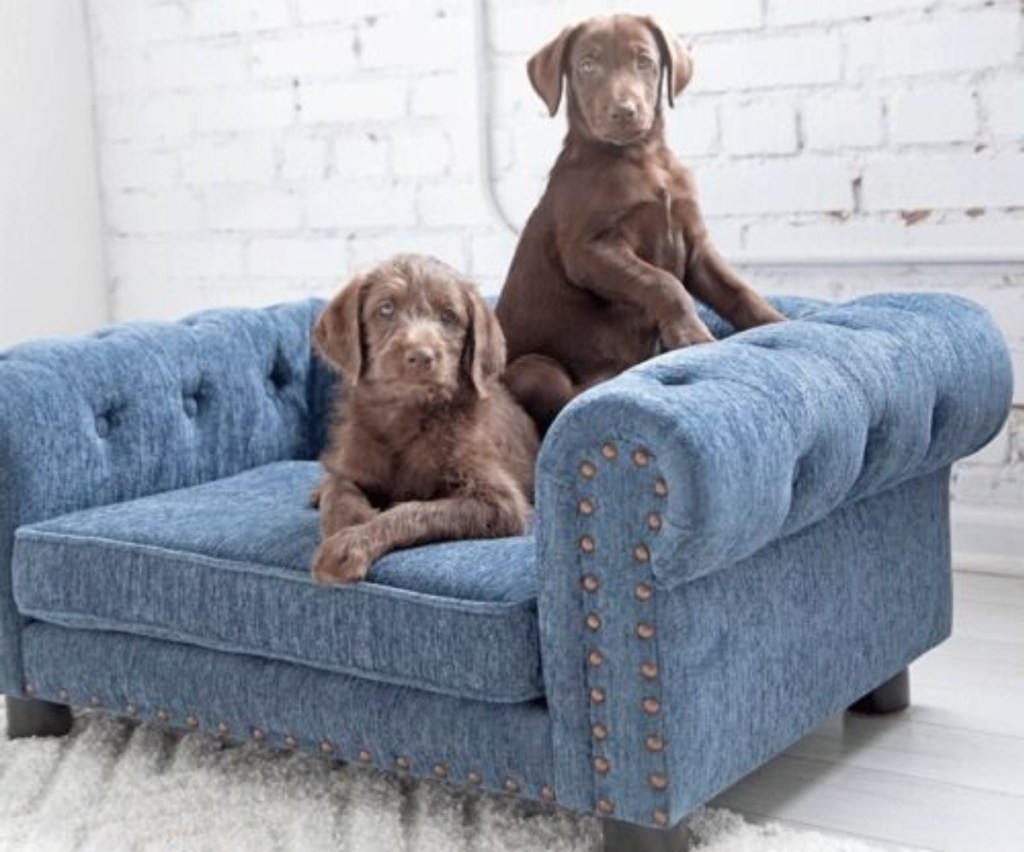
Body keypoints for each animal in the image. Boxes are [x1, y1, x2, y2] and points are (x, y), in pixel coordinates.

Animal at [311, 252, 540, 585]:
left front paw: (352, 543)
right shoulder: (355, 465)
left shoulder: (501, 502)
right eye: (386, 308)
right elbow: (338, 488)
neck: (406, 415)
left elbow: (417, 509)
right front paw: (350, 522)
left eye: (448, 316)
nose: (420, 356)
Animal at [495, 9, 782, 430]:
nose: (624, 111)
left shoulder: (694, 245)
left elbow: (738, 290)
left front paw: (781, 323)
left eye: (644, 62)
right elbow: (663, 283)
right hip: (534, 369)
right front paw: (691, 336)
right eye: (587, 65)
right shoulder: (590, 250)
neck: (642, 157)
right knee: (566, 399)